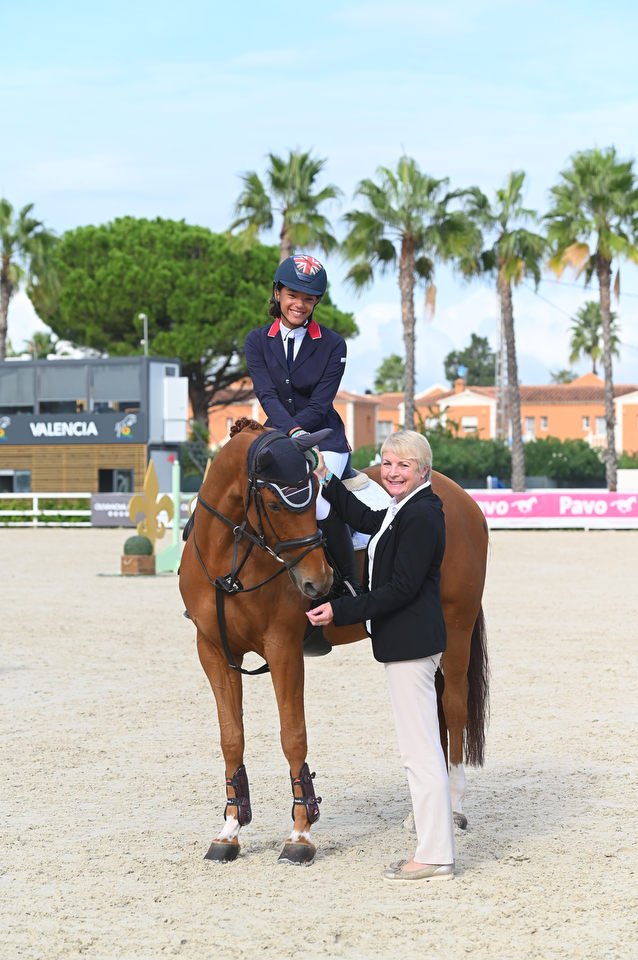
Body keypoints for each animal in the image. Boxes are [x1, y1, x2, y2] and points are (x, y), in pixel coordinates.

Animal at [179, 418, 489, 865]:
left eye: (314, 503)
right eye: (275, 506)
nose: (319, 584)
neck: (231, 559)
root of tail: (462, 498)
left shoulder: (284, 648)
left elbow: (293, 734)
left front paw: (300, 834)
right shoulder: (214, 651)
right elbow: (231, 737)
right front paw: (229, 831)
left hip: (457, 628)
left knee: (454, 707)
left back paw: (455, 808)